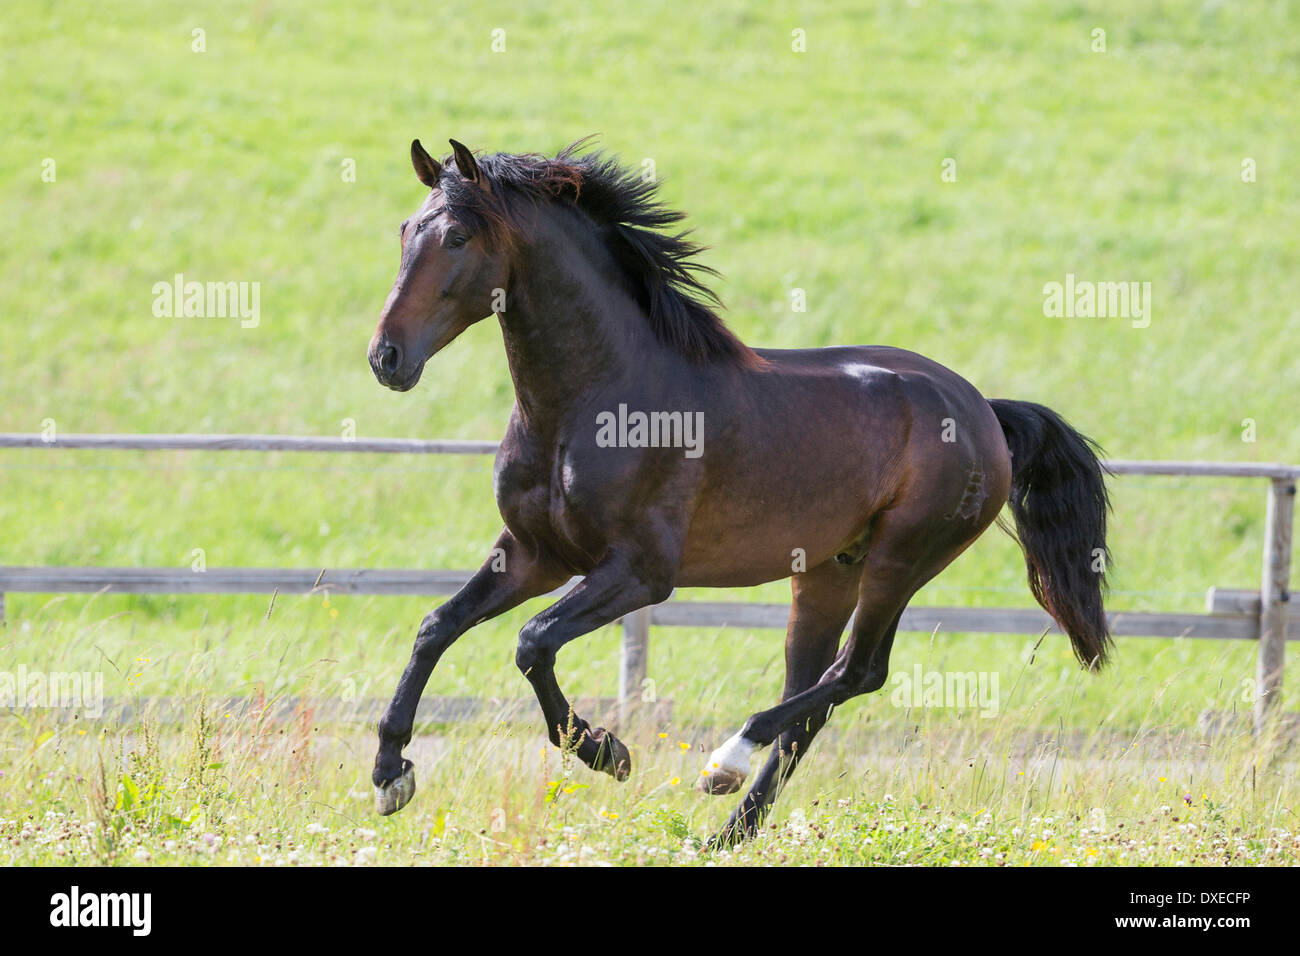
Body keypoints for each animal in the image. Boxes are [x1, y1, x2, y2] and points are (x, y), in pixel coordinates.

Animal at [364, 134, 1107, 842]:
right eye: (403, 229)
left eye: (458, 238)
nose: (386, 358)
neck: (592, 401)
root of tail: (984, 411)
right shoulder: (535, 554)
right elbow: (437, 627)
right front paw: (391, 774)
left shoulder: (641, 572)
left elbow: (533, 641)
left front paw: (608, 752)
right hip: (830, 571)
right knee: (815, 696)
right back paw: (728, 833)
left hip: (902, 559)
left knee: (857, 674)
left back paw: (726, 761)